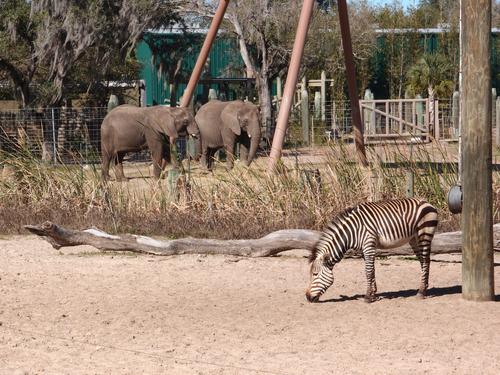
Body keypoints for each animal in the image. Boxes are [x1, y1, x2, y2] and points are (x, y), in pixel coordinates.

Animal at [304, 198, 438, 304]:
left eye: (315, 274)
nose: (307, 297)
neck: (351, 232)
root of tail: (426, 202)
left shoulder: (368, 245)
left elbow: (368, 271)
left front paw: (368, 296)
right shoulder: (364, 249)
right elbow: (371, 270)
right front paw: (374, 294)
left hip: (424, 234)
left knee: (426, 260)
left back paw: (421, 292)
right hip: (414, 239)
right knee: (423, 261)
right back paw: (424, 288)